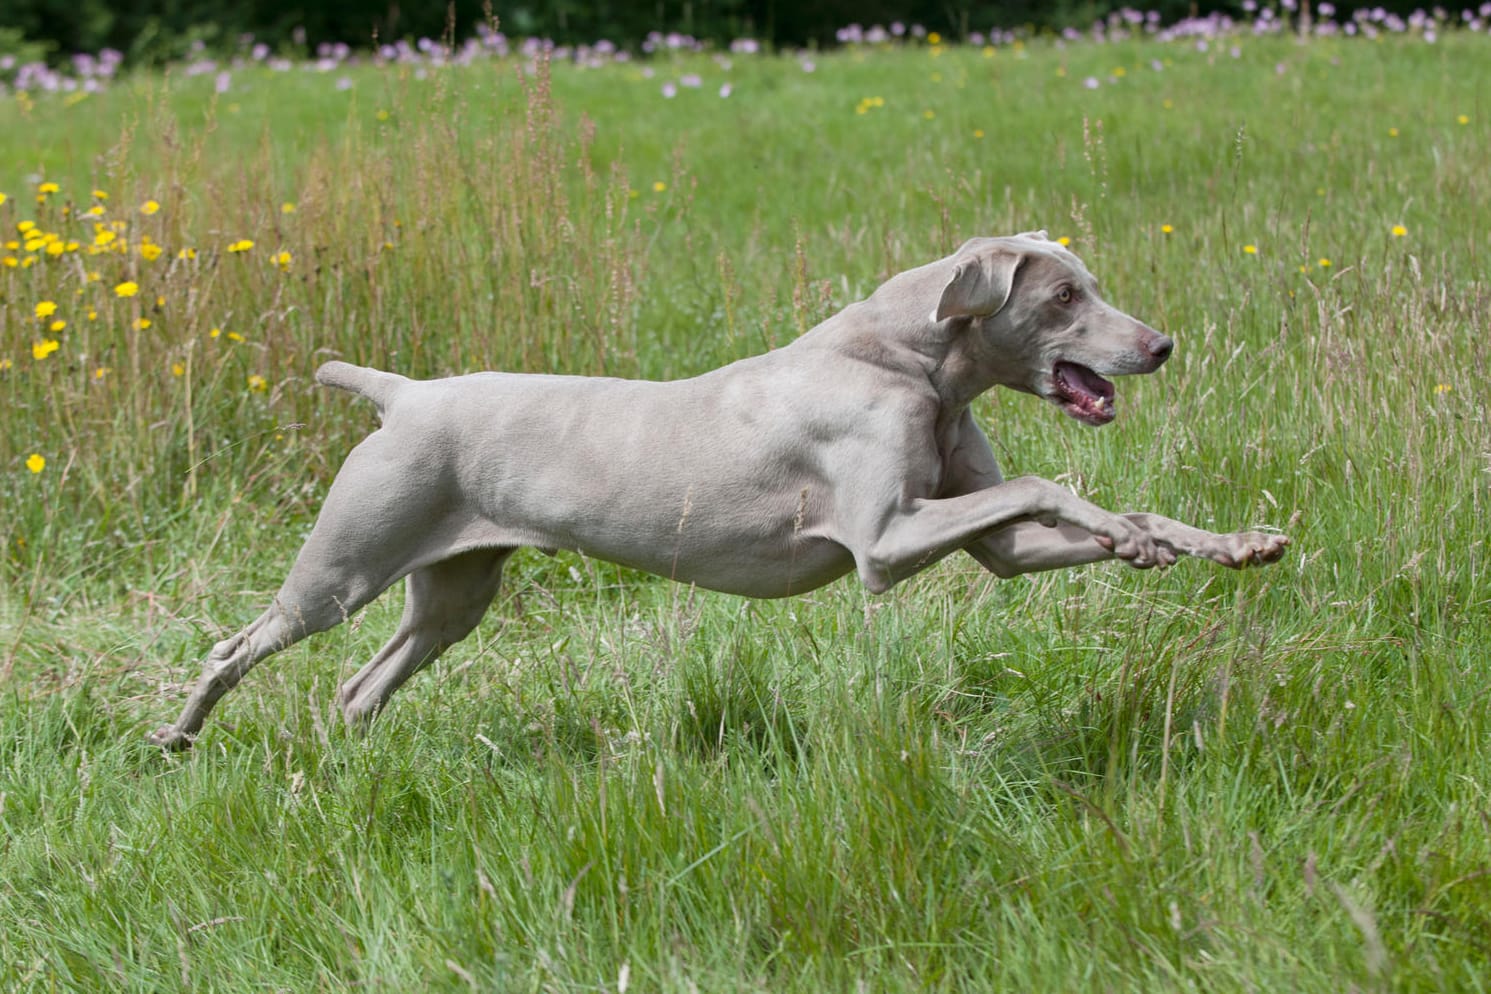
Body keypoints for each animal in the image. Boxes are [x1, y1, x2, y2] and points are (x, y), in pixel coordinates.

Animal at [154, 230, 1294, 745]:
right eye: (1062, 297)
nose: (1162, 344)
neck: (907, 360)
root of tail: (403, 392)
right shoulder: (884, 540)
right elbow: (1050, 487)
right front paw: (1131, 533)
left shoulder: (987, 538)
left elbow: (1059, 517)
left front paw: (1217, 544)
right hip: (343, 567)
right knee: (237, 645)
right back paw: (175, 737)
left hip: (455, 592)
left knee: (359, 687)